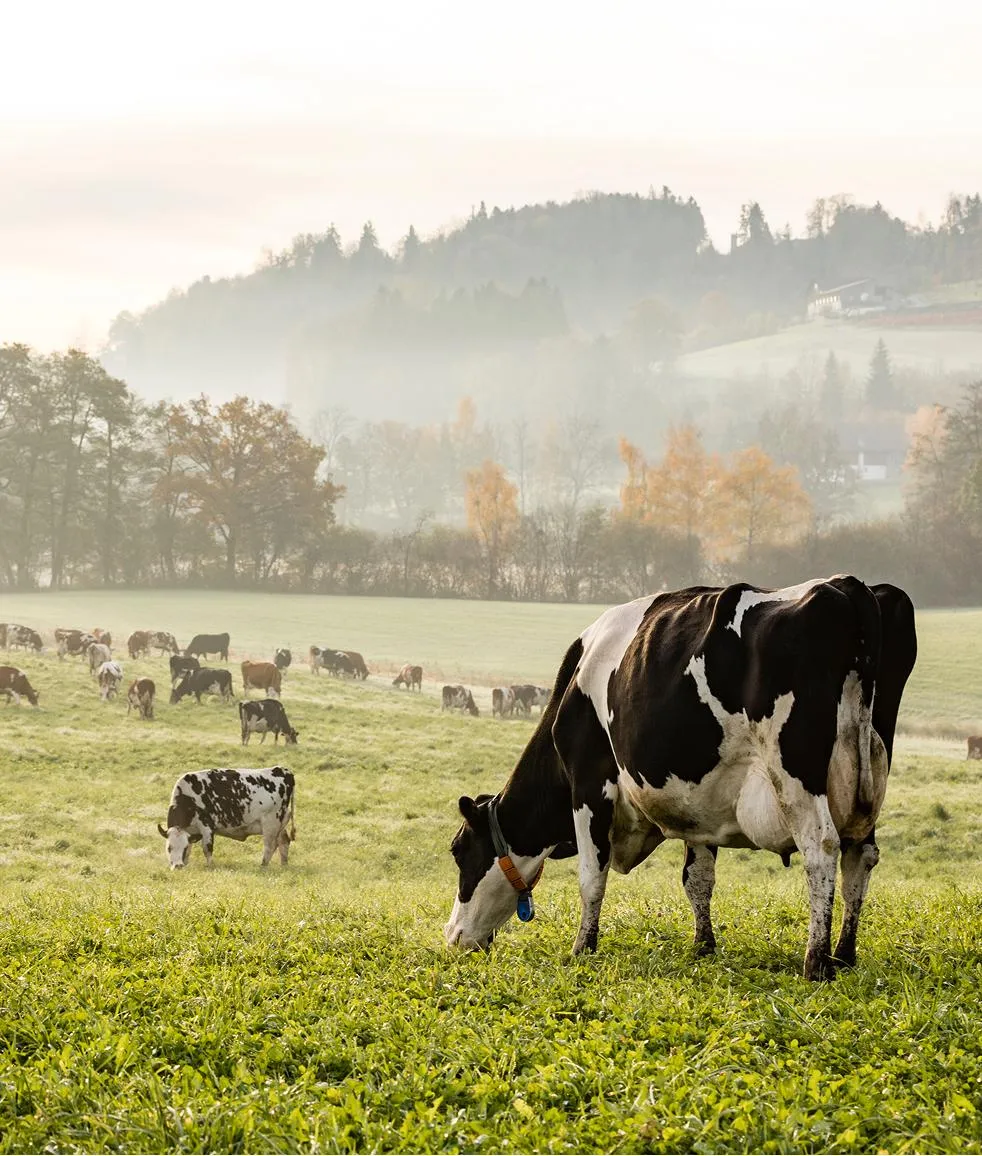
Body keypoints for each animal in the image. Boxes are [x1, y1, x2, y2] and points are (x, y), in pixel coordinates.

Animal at [157, 767, 296, 870]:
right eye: (169, 848)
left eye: (183, 847)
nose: (178, 866)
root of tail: (283, 770)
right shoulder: (190, 831)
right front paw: (185, 863)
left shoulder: (207, 826)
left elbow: (207, 848)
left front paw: (209, 867)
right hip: (280, 823)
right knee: (283, 841)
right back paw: (283, 865)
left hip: (270, 822)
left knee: (269, 846)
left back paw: (263, 866)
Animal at [445, 577, 917, 982]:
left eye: (458, 851)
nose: (453, 936)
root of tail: (848, 586)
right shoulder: (701, 804)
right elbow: (697, 879)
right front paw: (703, 946)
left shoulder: (589, 783)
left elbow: (591, 876)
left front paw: (582, 948)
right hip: (868, 778)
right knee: (861, 855)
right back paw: (845, 954)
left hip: (797, 774)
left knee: (821, 849)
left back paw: (816, 962)